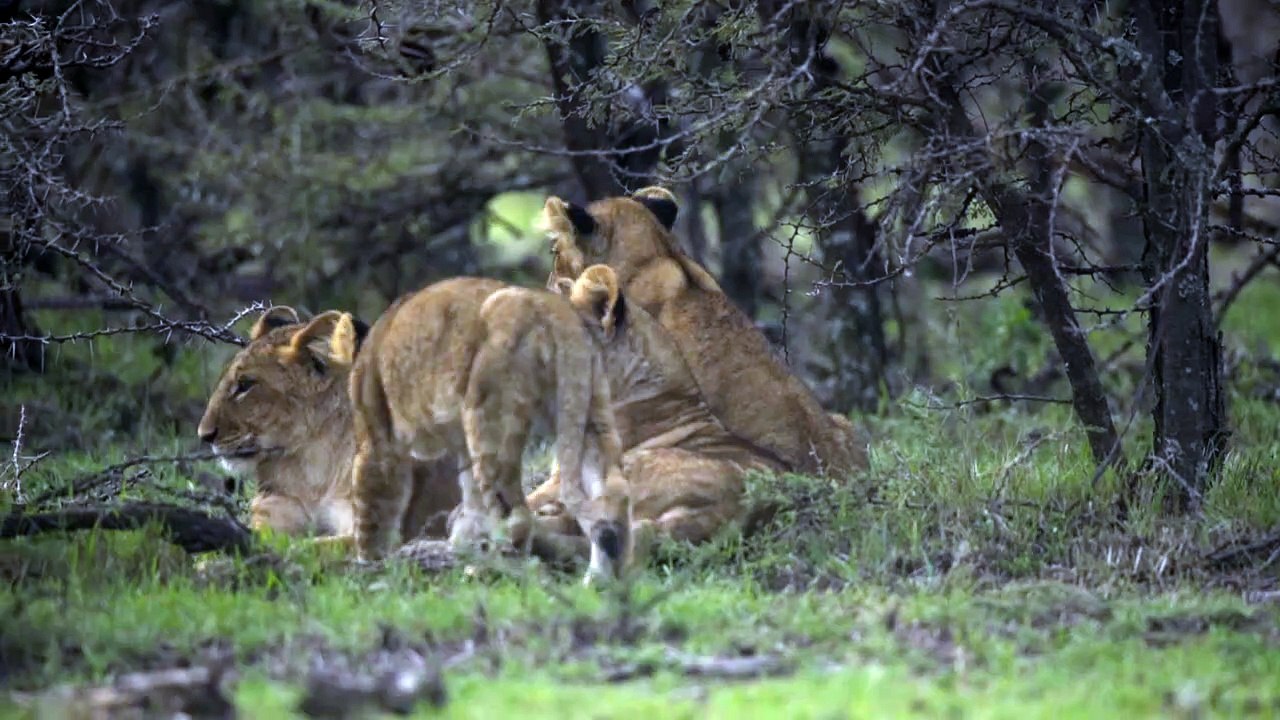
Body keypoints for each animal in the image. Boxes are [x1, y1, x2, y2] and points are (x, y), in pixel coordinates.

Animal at [345, 277, 633, 584]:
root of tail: (555, 312)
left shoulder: (377, 436)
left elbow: (371, 505)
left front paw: (370, 567)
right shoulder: (461, 446)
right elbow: (472, 500)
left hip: (488, 416)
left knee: (516, 515)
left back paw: (492, 572)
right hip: (589, 407)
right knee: (613, 496)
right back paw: (600, 581)